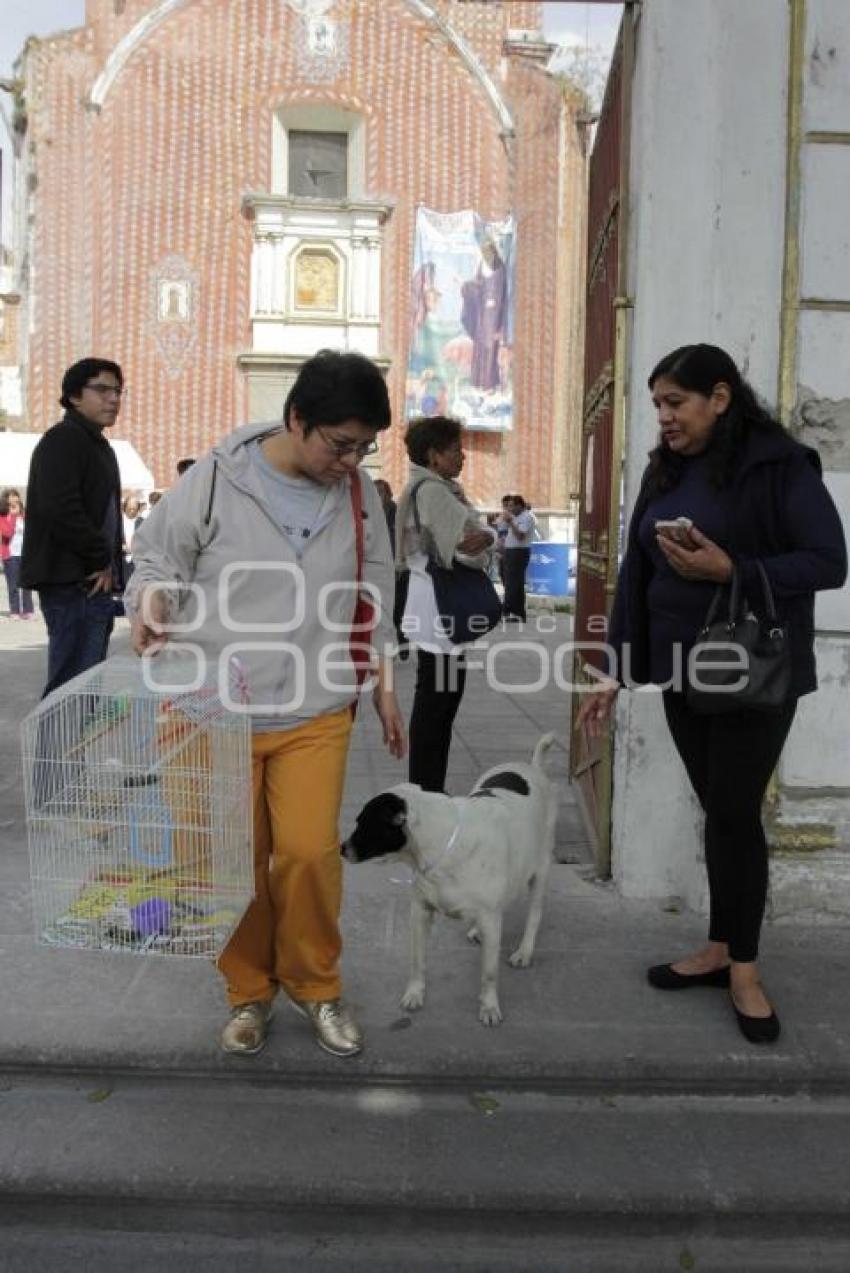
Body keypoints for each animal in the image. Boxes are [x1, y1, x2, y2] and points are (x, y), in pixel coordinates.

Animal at [341, 738, 557, 1023]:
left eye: (363, 823)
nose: (340, 848)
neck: (444, 846)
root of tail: (532, 767)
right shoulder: (420, 913)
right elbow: (417, 961)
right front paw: (415, 993)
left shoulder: (491, 918)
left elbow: (489, 973)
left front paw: (489, 1005)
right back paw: (477, 931)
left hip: (540, 871)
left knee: (534, 914)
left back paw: (524, 951)